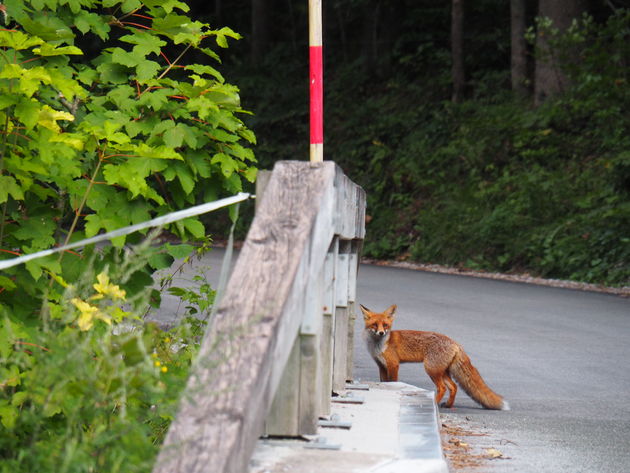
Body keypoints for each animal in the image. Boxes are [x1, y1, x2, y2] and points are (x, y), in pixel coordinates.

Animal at [362, 302, 512, 410]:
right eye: (374, 325)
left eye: (385, 325)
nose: (381, 333)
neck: (379, 345)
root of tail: (455, 343)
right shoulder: (381, 366)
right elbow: (383, 382)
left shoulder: (393, 365)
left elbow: (392, 382)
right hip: (442, 371)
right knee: (453, 387)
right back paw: (448, 405)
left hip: (431, 369)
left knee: (443, 388)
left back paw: (435, 403)